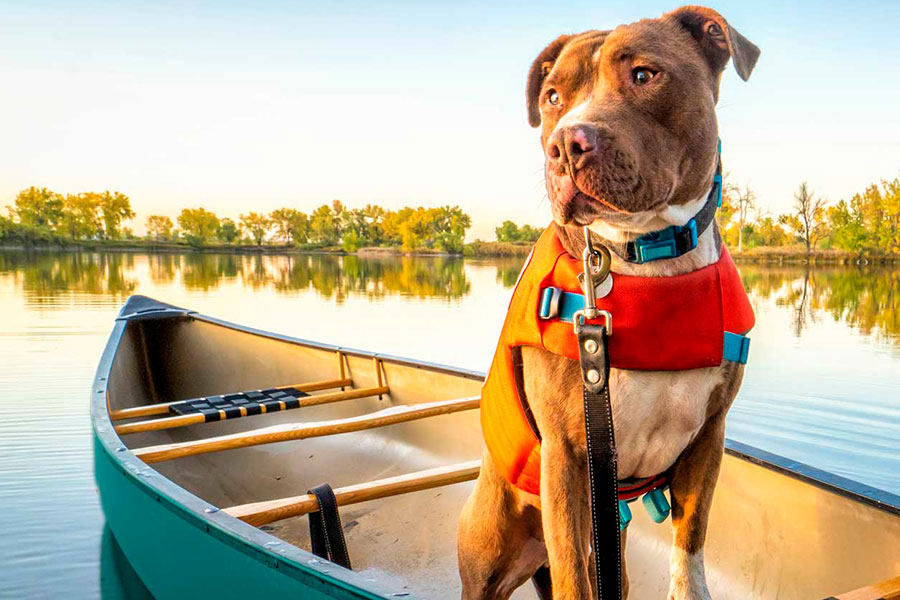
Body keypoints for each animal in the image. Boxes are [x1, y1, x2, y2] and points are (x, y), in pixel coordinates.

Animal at [458, 5, 760, 600]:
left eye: (644, 75)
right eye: (552, 96)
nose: (565, 144)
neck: (645, 253)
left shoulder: (708, 438)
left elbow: (690, 547)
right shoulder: (567, 456)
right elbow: (576, 576)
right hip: (489, 550)